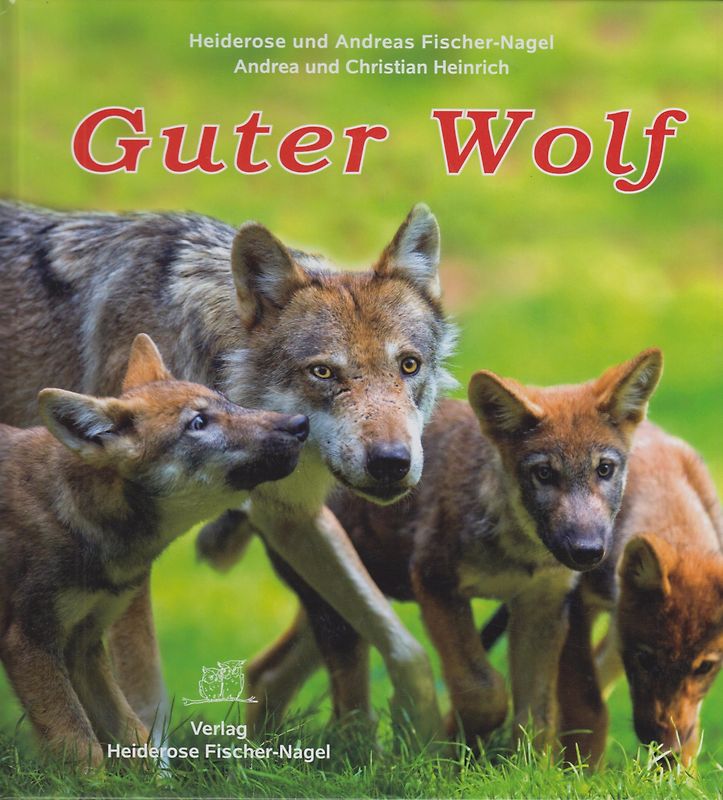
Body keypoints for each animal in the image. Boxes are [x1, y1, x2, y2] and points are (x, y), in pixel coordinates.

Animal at [0, 334, 307, 766]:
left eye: (227, 401)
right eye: (198, 423)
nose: (301, 423)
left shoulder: (84, 646)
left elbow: (134, 736)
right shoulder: (29, 642)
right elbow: (81, 745)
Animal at [198, 349, 662, 747]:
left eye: (605, 469)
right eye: (544, 474)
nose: (587, 551)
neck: (516, 549)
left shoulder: (542, 604)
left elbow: (537, 715)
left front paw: (525, 772)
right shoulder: (435, 583)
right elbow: (482, 689)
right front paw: (458, 750)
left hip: (345, 604)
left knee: (266, 673)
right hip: (340, 616)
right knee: (345, 708)